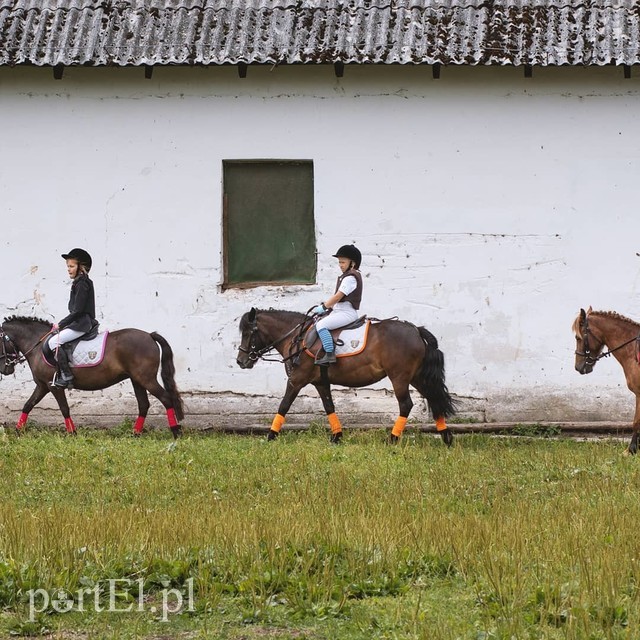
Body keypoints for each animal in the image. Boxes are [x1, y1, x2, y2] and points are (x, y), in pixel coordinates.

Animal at [0, 316, 184, 438]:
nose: (4, 370)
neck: (38, 346)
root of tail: (149, 335)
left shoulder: (53, 386)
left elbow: (64, 408)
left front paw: (72, 433)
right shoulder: (43, 386)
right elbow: (27, 405)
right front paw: (17, 431)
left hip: (146, 379)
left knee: (166, 398)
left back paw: (175, 431)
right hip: (137, 380)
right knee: (144, 404)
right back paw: (135, 433)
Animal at [236, 308, 457, 445]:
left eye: (248, 333)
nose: (241, 361)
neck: (297, 338)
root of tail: (416, 330)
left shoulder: (297, 380)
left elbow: (283, 405)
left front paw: (270, 436)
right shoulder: (320, 382)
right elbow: (329, 407)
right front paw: (337, 437)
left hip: (399, 377)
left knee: (406, 405)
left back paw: (392, 439)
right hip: (417, 377)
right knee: (434, 398)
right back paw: (446, 438)